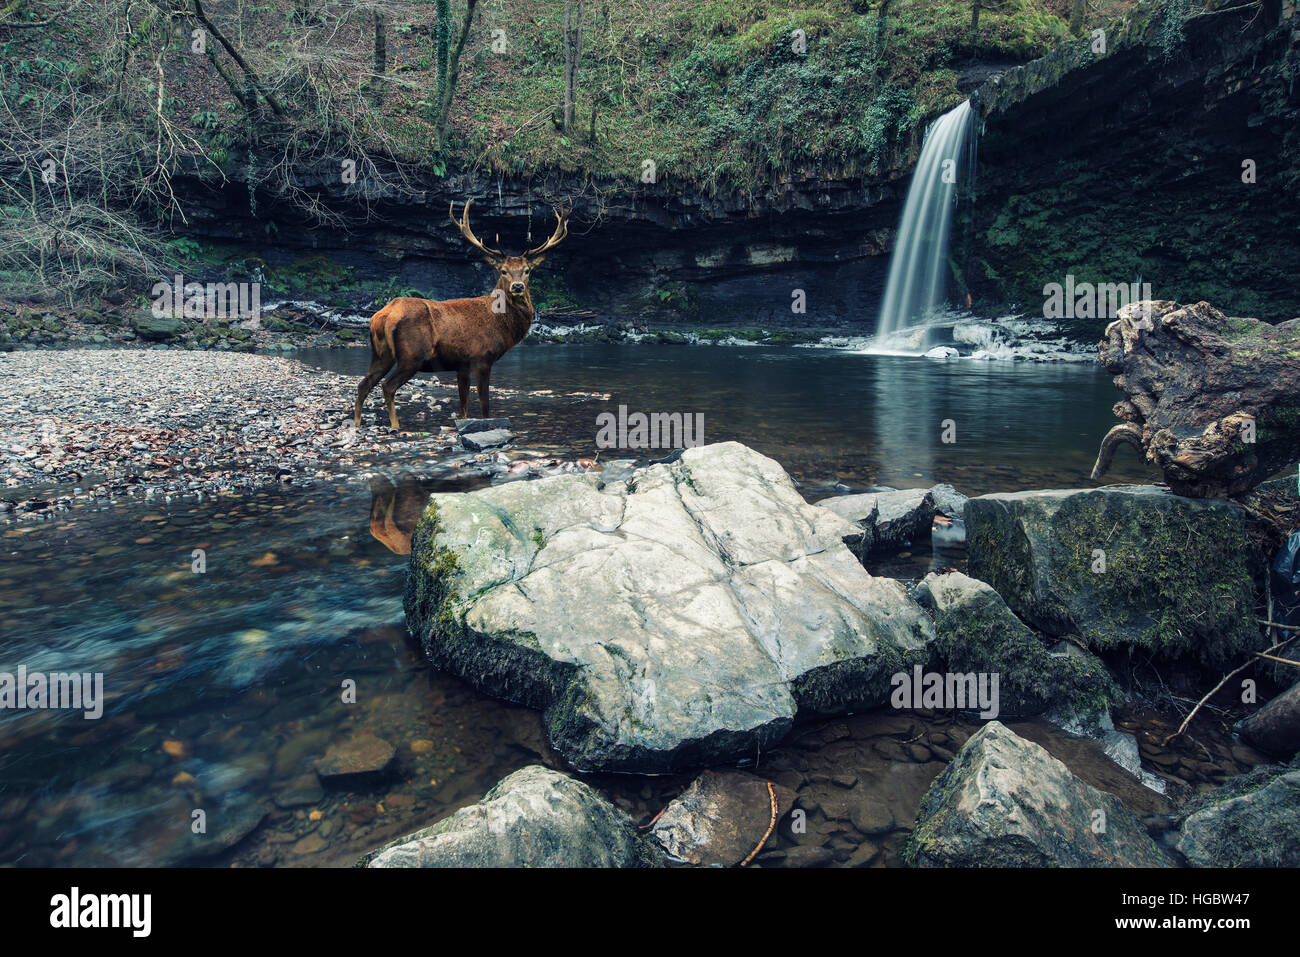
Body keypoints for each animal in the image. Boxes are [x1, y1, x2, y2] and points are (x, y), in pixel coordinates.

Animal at [353, 199, 570, 430]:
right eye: (503, 270)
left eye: (527, 270)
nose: (518, 286)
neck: (500, 323)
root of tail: (382, 316)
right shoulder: (482, 357)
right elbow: (484, 406)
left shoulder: (462, 365)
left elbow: (463, 406)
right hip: (412, 355)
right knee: (387, 386)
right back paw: (395, 426)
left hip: (381, 353)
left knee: (364, 384)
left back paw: (357, 424)